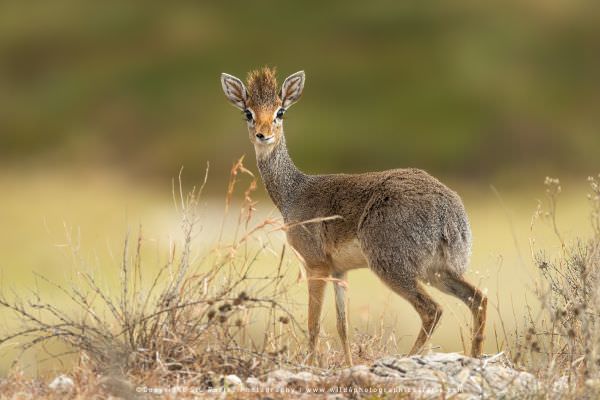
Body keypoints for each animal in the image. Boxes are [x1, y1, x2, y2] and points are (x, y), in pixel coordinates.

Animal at [220, 66, 488, 366]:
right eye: (248, 112)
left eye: (280, 111)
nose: (262, 135)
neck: (293, 192)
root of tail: (449, 211)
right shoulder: (340, 271)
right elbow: (342, 325)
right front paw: (348, 365)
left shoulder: (315, 265)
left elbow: (314, 324)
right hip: (438, 270)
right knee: (478, 298)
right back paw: (475, 356)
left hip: (393, 267)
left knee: (433, 309)